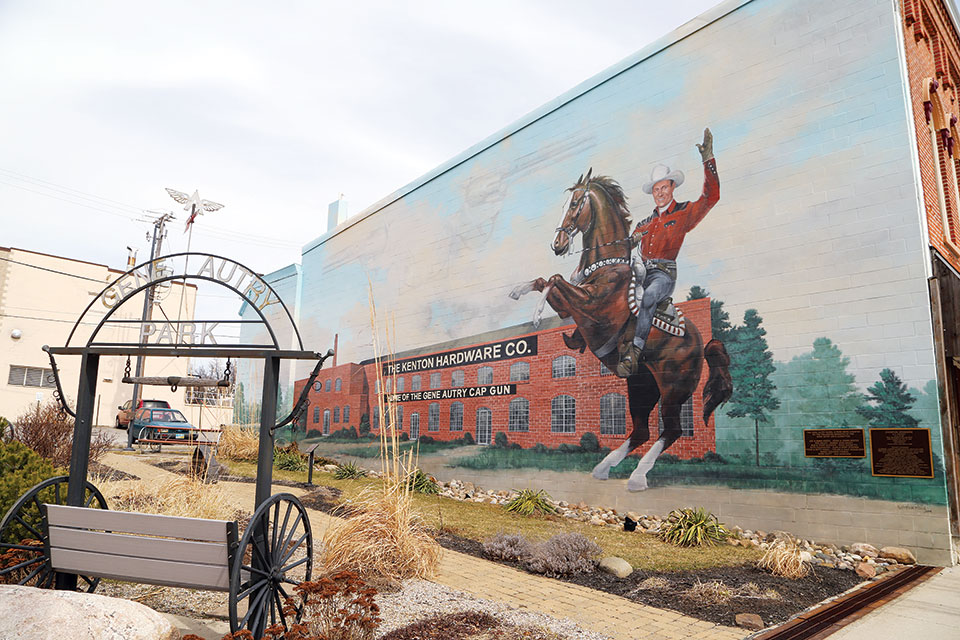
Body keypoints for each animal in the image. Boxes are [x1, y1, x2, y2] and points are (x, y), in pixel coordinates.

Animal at [506, 168, 732, 488]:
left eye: (574, 204)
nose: (557, 244)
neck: (606, 266)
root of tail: (702, 342)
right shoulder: (568, 308)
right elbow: (544, 280)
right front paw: (518, 290)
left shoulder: (591, 307)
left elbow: (555, 278)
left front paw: (537, 313)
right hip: (641, 387)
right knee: (641, 430)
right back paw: (604, 467)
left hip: (673, 390)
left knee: (671, 430)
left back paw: (637, 477)